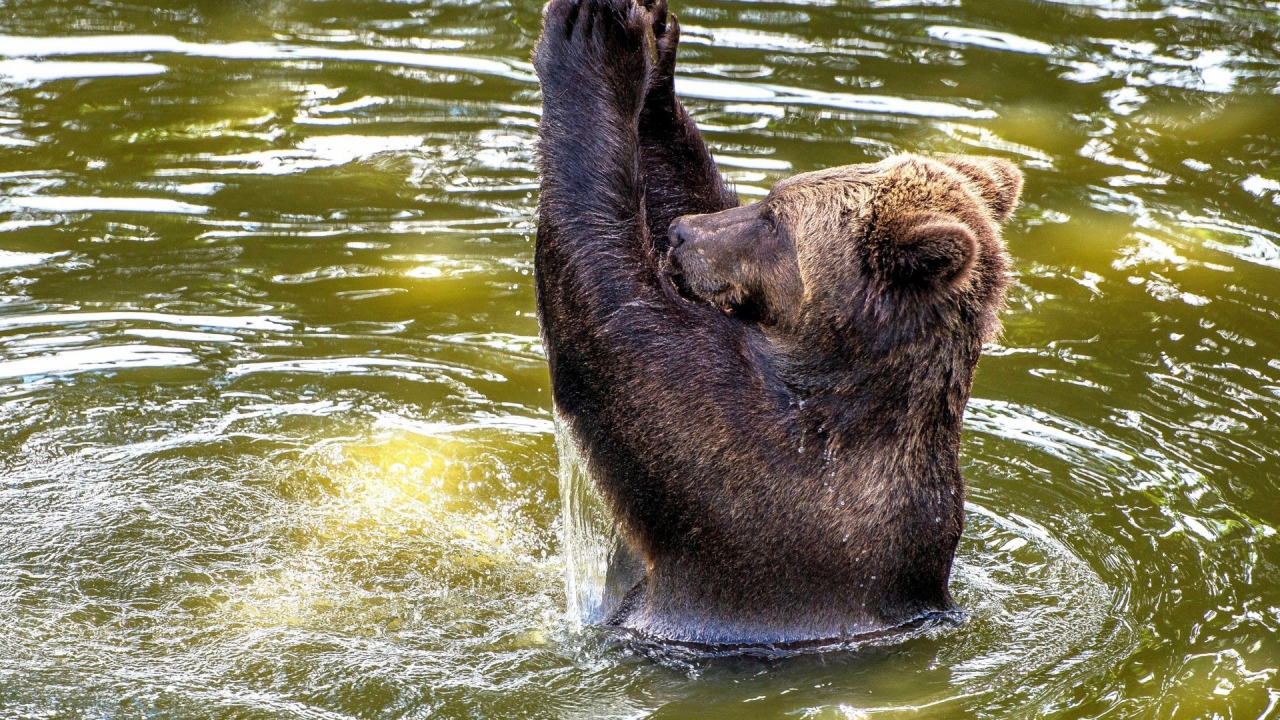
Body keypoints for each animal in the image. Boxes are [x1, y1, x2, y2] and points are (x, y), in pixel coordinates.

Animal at [533, 0, 1022, 649]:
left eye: (773, 220)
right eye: (768, 195)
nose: (682, 234)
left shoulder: (748, 470)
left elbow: (610, 312)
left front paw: (596, 41)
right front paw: (657, 58)